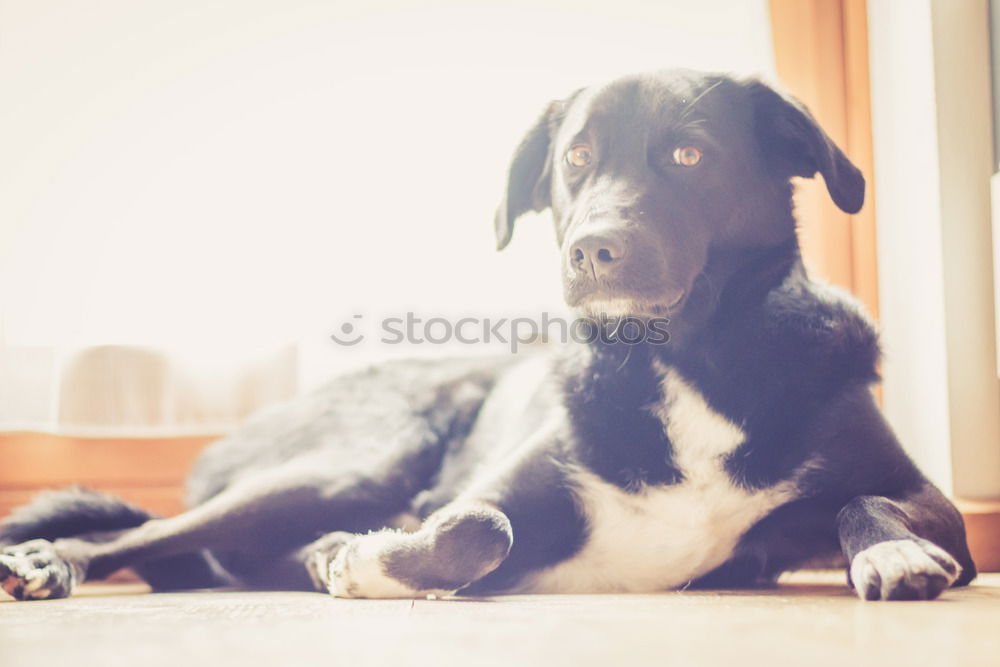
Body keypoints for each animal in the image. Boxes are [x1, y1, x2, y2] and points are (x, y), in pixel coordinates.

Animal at [0, 70, 972, 604]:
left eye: (690, 154)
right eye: (575, 158)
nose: (592, 248)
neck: (677, 360)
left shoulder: (936, 509)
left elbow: (871, 501)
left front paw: (888, 550)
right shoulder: (487, 497)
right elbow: (478, 527)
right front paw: (370, 563)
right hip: (353, 462)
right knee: (145, 533)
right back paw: (51, 559)